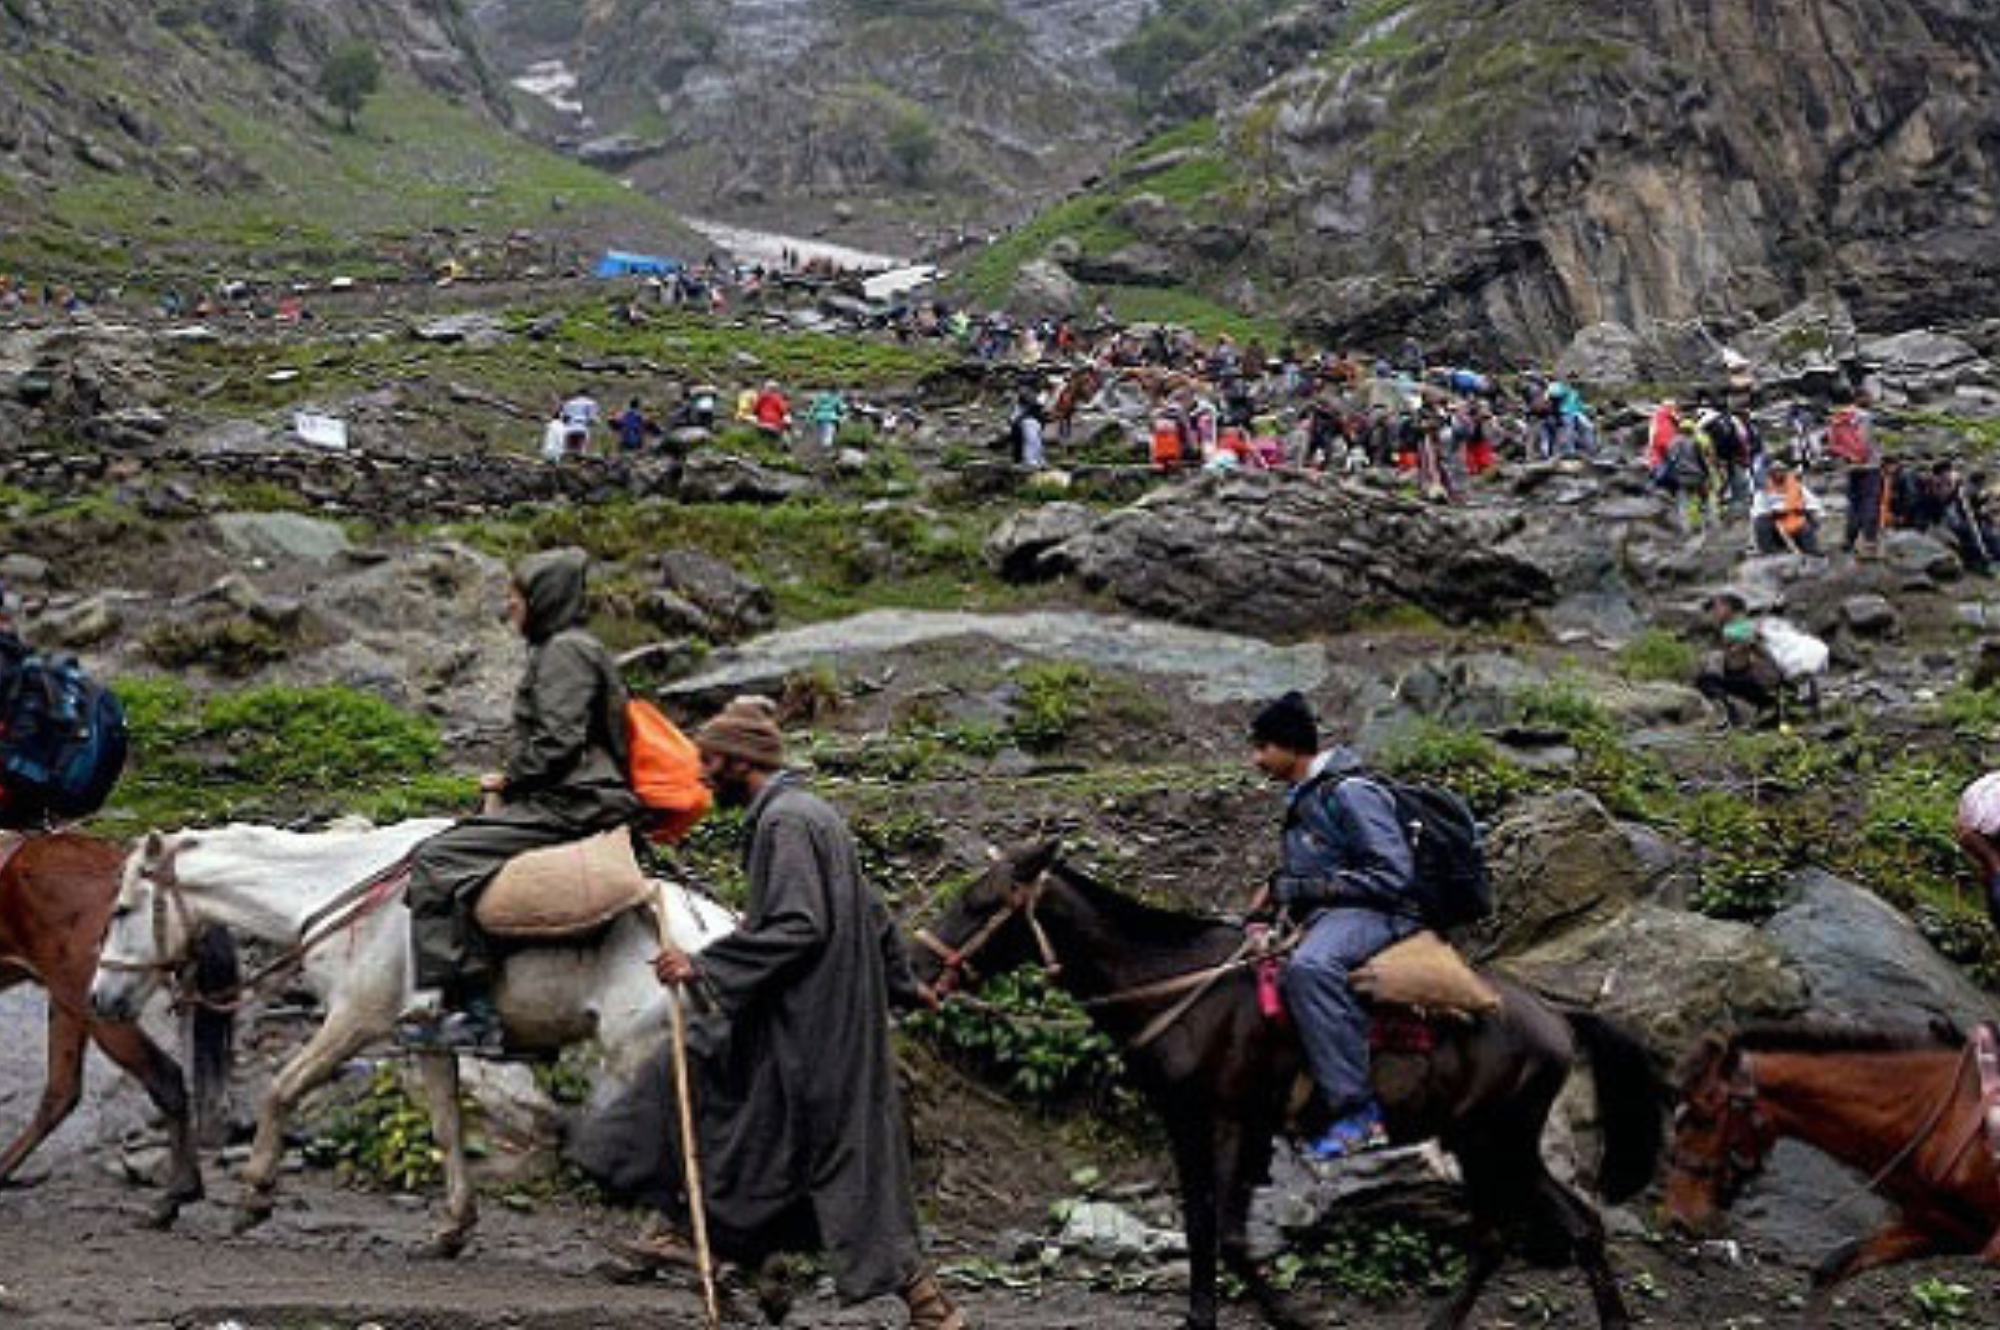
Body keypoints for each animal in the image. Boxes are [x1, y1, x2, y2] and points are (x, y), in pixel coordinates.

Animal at [92, 820, 736, 1256]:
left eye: (122, 909)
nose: (100, 1000)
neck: (336, 894)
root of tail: (715, 931)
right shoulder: (428, 1040)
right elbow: (448, 1128)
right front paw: (453, 1228)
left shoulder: (354, 1020)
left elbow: (281, 1090)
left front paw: (253, 1199)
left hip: (638, 1054)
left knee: (669, 1144)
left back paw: (654, 1246)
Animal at [916, 840, 1664, 1328]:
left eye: (980, 903)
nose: (916, 970)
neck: (1177, 984)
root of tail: (1558, 1014)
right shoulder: (1196, 1122)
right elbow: (1208, 1229)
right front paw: (1206, 1318)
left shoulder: (1228, 1122)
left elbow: (1227, 1236)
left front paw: (1288, 1321)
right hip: (1490, 1142)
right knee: (1552, 1228)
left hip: (1493, 1139)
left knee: (1522, 1232)